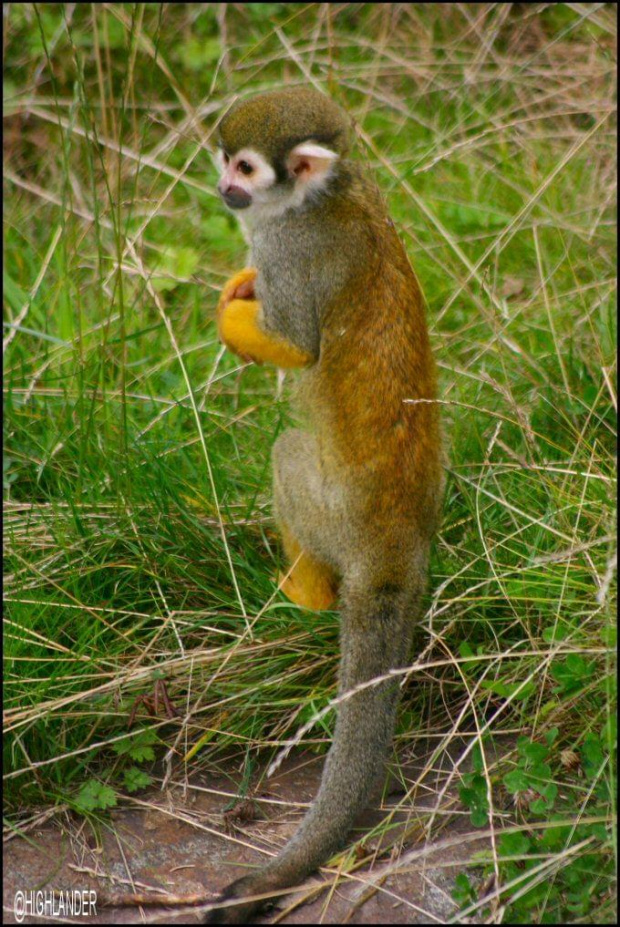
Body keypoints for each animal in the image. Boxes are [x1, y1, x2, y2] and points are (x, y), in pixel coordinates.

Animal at [209, 85, 446, 920]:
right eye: (225, 159)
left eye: (247, 168)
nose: (225, 187)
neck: (327, 192)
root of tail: (395, 546)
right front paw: (234, 288)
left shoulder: (289, 246)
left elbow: (298, 343)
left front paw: (233, 311)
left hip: (335, 512)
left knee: (287, 451)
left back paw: (306, 588)